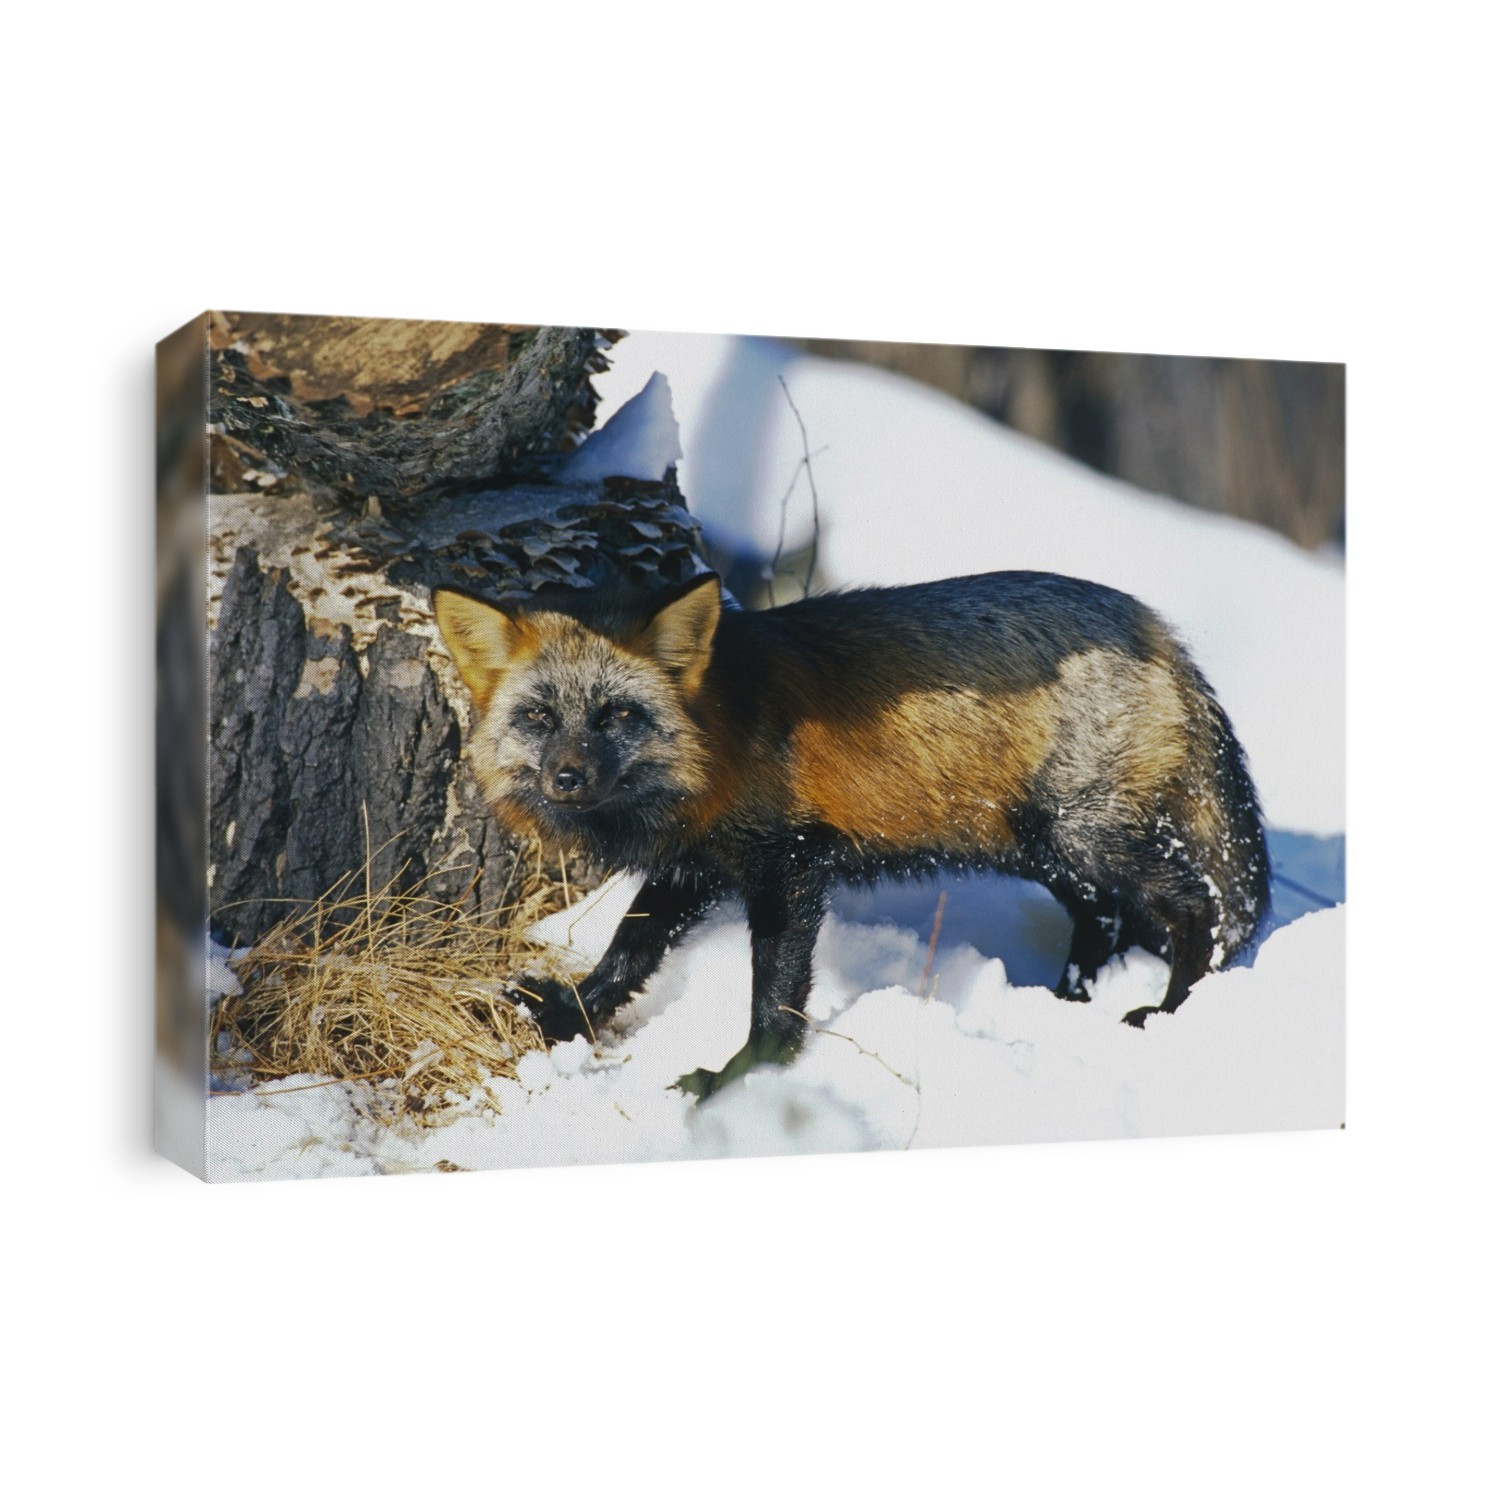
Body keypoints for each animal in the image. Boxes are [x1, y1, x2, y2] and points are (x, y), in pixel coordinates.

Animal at [434, 569, 1270, 1098]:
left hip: (1083, 837)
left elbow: (773, 996)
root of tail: (1158, 629)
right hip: (1044, 849)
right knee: (1103, 922)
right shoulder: (696, 865)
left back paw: (1172, 1005)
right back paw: (1066, 1000)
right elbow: (628, 949)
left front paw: (744, 1075)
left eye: (616, 715)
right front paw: (569, 1013)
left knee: (1195, 906)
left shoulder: (789, 866)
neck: (717, 739)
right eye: (539, 716)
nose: (568, 778)